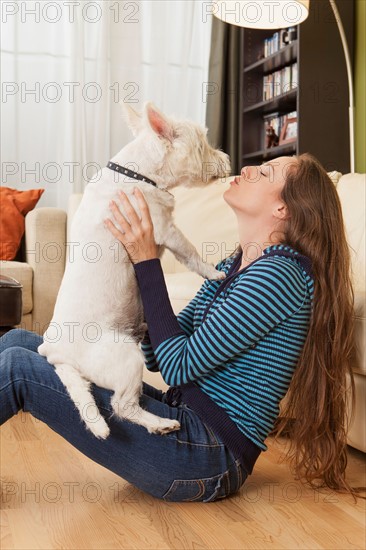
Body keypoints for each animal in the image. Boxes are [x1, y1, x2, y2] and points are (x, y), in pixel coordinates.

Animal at [38, 102, 232, 440]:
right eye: (203, 145)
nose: (227, 158)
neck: (141, 173)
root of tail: (56, 354)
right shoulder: (166, 230)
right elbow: (191, 253)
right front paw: (214, 273)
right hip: (127, 358)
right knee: (122, 406)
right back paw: (161, 424)